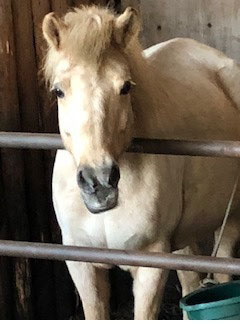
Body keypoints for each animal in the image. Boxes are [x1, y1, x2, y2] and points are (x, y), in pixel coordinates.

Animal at [42, 5, 240, 322]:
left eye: (125, 87)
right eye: (58, 91)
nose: (99, 183)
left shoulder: (151, 263)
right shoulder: (82, 264)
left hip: (231, 216)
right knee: (191, 283)